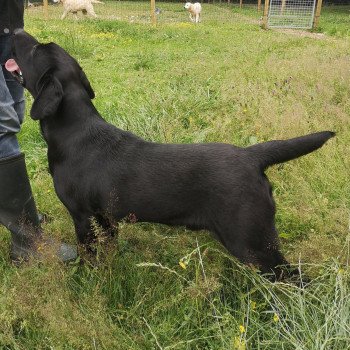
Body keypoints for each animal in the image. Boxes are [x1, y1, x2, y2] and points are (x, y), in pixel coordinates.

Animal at [7, 31, 334, 280]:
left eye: (35, 49)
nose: (16, 31)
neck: (75, 131)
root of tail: (251, 156)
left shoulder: (82, 217)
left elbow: (89, 255)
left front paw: (86, 279)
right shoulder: (106, 219)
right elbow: (109, 250)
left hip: (252, 242)